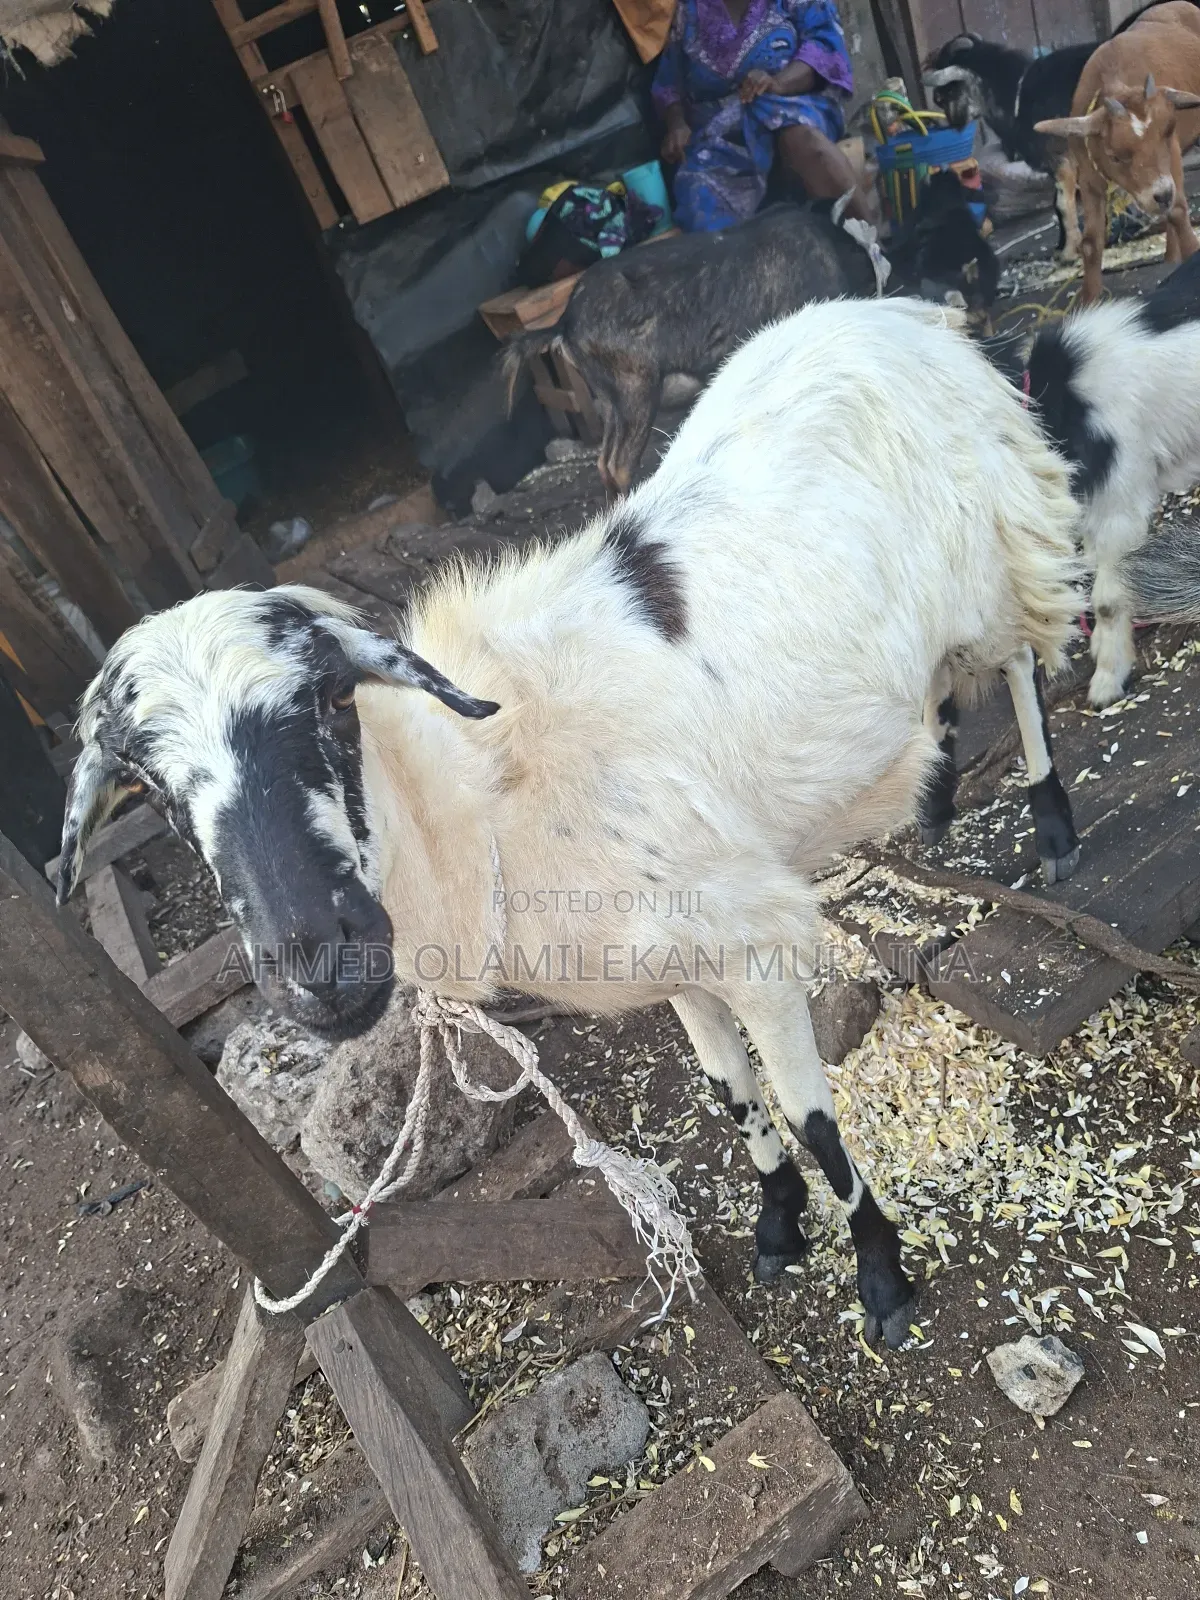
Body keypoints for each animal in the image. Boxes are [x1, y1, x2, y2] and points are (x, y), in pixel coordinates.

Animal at [57, 297, 1083, 1349]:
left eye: (335, 700)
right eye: (150, 787)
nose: (318, 964)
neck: (481, 796)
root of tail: (902, 313)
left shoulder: (751, 941)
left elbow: (812, 1121)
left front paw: (880, 1278)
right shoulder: (681, 954)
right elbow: (732, 1097)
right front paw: (776, 1226)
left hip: (995, 562)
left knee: (1022, 668)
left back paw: (1052, 830)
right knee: (946, 686)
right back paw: (936, 804)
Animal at [925, 33, 1094, 261]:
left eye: (945, 95)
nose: (951, 125)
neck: (1017, 98)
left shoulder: (1060, 162)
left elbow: (1062, 205)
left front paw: (1069, 252)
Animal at [1035, 2, 1200, 304]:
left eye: (1168, 129)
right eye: (1114, 156)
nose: (1161, 194)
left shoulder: (1170, 155)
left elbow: (1178, 210)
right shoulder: (1089, 175)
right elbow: (1090, 242)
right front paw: (1087, 300)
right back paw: (1171, 256)